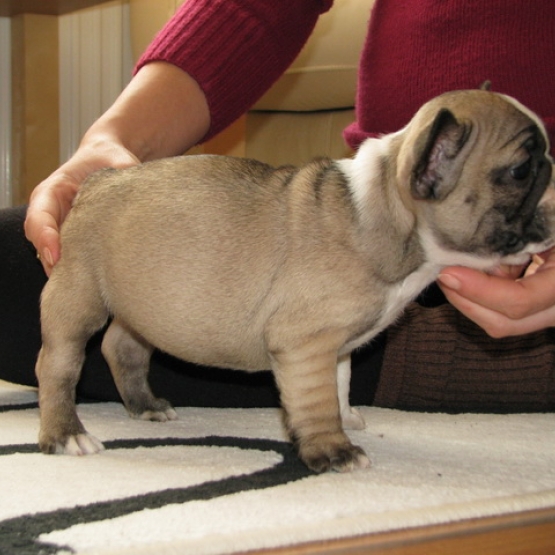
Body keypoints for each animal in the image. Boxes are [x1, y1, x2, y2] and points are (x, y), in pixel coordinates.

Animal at [35, 90, 555, 474]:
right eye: (520, 171)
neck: (386, 213)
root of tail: (98, 181)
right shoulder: (307, 341)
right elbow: (317, 396)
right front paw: (334, 450)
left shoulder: (336, 345)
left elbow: (340, 383)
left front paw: (346, 417)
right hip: (77, 296)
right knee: (58, 365)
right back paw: (65, 434)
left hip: (140, 303)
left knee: (122, 346)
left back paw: (145, 406)